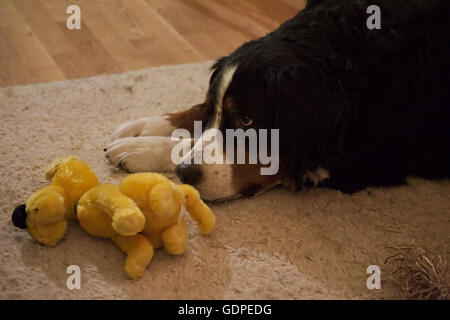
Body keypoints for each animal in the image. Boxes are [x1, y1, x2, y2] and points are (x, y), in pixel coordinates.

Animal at [103, 0, 450, 200]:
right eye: (217, 109)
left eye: (247, 120)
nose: (186, 174)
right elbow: (198, 114)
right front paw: (146, 127)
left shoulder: (359, 162)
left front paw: (143, 149)